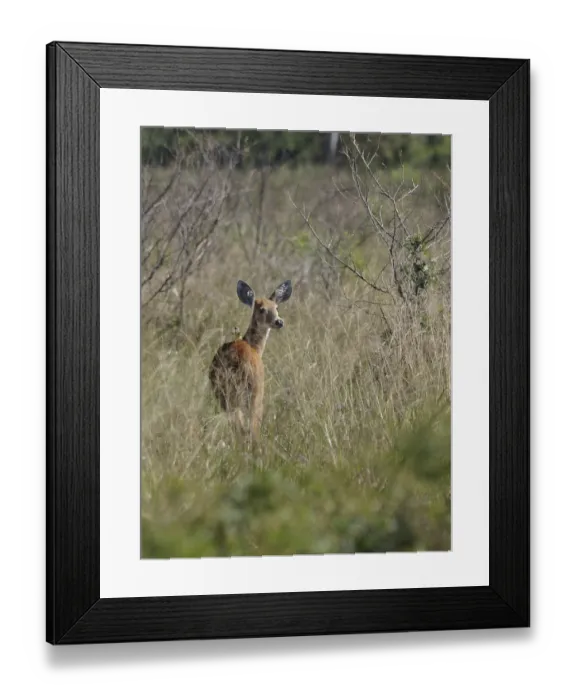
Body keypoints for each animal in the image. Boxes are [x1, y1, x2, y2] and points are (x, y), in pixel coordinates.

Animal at [209, 279, 292, 442]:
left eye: (276, 307)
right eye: (261, 309)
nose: (279, 321)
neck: (254, 346)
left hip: (226, 396)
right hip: (255, 394)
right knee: (251, 429)